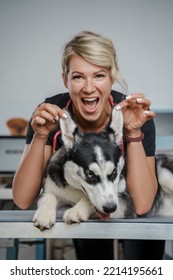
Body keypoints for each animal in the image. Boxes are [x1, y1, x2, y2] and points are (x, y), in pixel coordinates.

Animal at [32, 107, 173, 230]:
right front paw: (44, 214)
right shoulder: (49, 189)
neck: (76, 189)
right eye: (89, 173)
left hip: (163, 173)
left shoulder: (126, 202)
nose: (110, 208)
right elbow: (49, 196)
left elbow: (88, 200)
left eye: (114, 171)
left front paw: (76, 211)